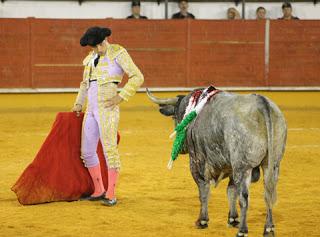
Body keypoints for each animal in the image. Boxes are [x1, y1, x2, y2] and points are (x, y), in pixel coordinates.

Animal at [148, 89, 288, 237]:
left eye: (175, 117)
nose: (181, 149)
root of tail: (262, 103)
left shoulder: (198, 163)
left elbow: (203, 191)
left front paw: (202, 220)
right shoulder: (231, 168)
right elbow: (231, 191)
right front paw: (233, 218)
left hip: (243, 167)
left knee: (244, 197)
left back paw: (242, 230)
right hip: (272, 165)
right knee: (268, 194)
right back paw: (268, 228)